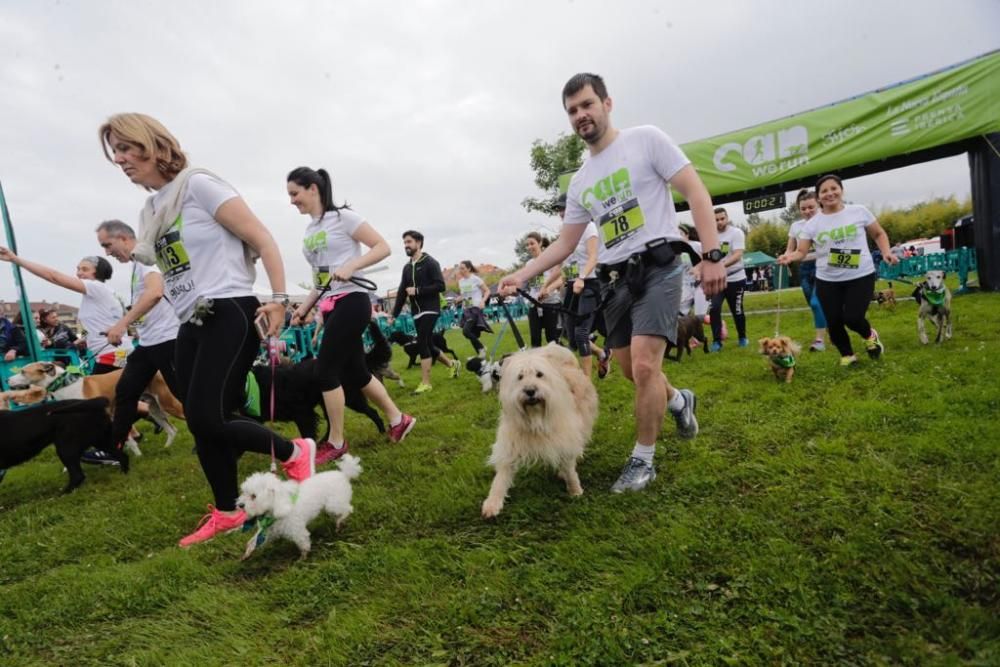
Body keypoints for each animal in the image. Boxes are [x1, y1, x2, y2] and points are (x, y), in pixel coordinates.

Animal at [6, 362, 184, 452]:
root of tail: (159, 371)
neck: (66, 387)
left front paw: (136, 455)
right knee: (172, 430)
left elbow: (127, 439)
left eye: (23, 371)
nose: (7, 380)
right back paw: (166, 448)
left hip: (169, 404)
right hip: (155, 409)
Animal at [482, 342, 596, 520]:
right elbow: (500, 478)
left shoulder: (565, 439)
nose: (530, 391)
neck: (535, 418)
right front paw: (492, 503)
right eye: (520, 377)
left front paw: (575, 490)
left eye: (539, 374)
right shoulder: (510, 447)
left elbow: (570, 470)